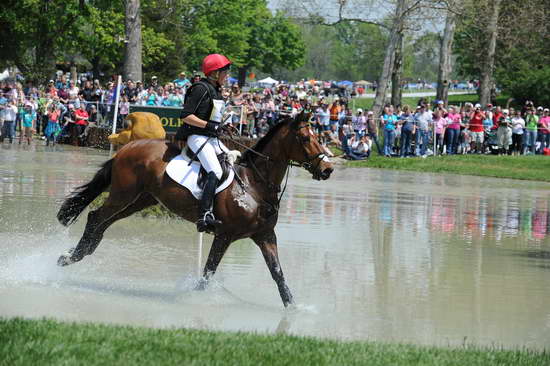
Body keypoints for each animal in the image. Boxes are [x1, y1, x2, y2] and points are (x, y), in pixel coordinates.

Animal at [56, 111, 334, 306]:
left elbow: (278, 274)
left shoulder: (265, 235)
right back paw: (71, 256)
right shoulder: (225, 236)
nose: (327, 169)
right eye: (305, 138)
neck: (255, 185)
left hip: (140, 200)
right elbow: (207, 273)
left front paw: (293, 307)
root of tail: (127, 147)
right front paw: (196, 299)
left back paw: (82, 251)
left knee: (103, 223)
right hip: (123, 195)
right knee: (96, 217)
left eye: (318, 137)